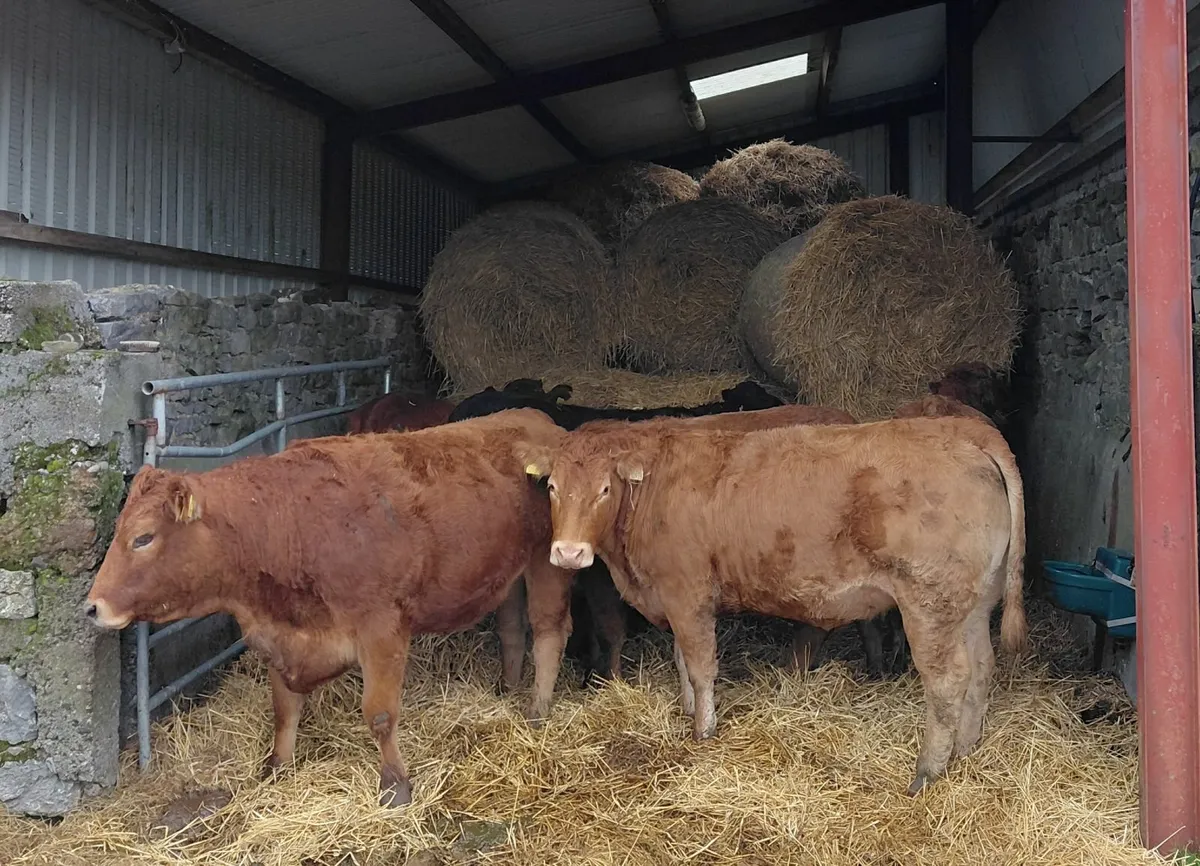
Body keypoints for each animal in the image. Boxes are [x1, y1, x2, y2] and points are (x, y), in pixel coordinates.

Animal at [84, 408, 575, 808]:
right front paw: (276, 768)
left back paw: (538, 708)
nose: (92, 607)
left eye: (143, 537)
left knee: (549, 629)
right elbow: (284, 709)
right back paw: (508, 689)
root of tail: (538, 420)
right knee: (511, 628)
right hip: (506, 572)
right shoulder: (283, 637)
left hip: (547, 559)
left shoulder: (382, 628)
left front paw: (395, 785)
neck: (287, 525)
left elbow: (379, 714)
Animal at [524, 414, 1027, 795]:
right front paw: (687, 711)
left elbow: (701, 666)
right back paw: (966, 749)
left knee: (948, 681)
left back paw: (927, 771)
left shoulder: (687, 593)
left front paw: (703, 731)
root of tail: (961, 430)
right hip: (974, 605)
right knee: (981, 666)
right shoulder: (675, 597)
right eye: (552, 487)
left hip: (929, 603)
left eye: (604, 490)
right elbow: (684, 662)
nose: (568, 553)